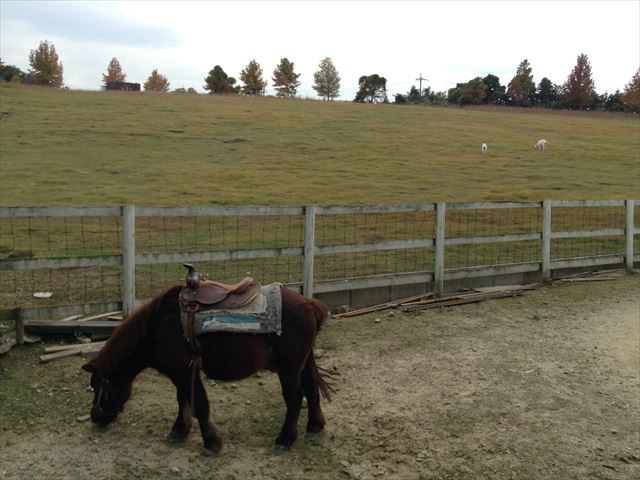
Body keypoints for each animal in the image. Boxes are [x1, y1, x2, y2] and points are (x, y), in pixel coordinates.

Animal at [82, 284, 332, 454]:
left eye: (100, 386)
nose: (95, 417)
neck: (157, 328)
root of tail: (311, 304)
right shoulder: (181, 373)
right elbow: (183, 400)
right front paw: (179, 431)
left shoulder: (183, 373)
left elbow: (199, 405)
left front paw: (211, 442)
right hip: (303, 363)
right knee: (311, 388)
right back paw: (314, 426)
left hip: (288, 369)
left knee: (295, 397)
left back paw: (285, 439)